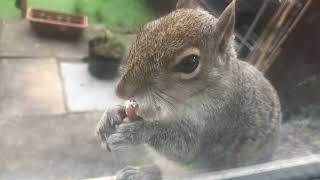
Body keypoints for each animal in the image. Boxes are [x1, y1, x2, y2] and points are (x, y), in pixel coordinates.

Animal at [95, 0, 282, 179]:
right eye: (145, 30)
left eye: (189, 63)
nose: (121, 91)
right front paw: (112, 113)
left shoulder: (218, 120)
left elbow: (183, 147)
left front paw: (137, 132)